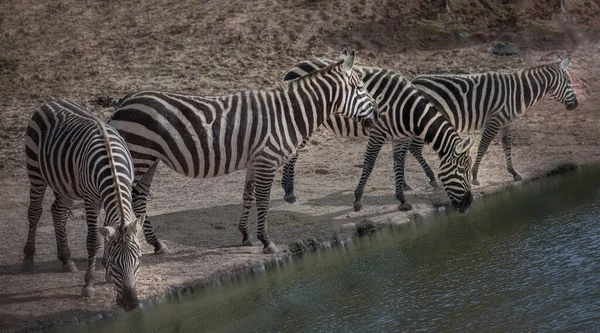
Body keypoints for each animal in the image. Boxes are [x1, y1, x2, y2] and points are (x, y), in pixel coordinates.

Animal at [23, 100, 146, 312]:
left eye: (137, 259)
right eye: (115, 262)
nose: (131, 304)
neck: (112, 165)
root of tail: (50, 101)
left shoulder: (119, 192)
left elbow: (107, 229)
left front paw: (105, 273)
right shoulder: (91, 199)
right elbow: (93, 240)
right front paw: (89, 284)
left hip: (64, 183)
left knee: (58, 211)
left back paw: (66, 259)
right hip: (35, 171)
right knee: (35, 211)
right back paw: (29, 258)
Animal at [108, 48, 378, 254]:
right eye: (360, 88)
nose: (376, 111)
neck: (287, 114)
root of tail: (124, 100)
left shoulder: (254, 160)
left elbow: (248, 195)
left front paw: (246, 235)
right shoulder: (267, 160)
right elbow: (264, 200)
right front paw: (267, 241)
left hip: (150, 160)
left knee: (139, 199)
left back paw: (157, 245)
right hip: (139, 156)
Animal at [280, 58, 474, 211]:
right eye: (461, 170)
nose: (469, 203)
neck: (409, 111)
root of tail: (295, 65)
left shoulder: (401, 138)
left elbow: (399, 164)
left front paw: (402, 199)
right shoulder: (377, 133)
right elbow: (369, 164)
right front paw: (358, 198)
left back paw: (286, 188)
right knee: (293, 152)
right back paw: (289, 192)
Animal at [406, 58, 580, 185]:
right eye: (569, 82)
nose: (576, 105)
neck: (518, 92)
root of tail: (413, 80)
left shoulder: (507, 122)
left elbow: (507, 146)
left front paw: (514, 172)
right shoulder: (494, 121)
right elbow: (483, 147)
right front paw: (475, 176)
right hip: (424, 122)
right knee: (414, 148)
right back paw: (431, 177)